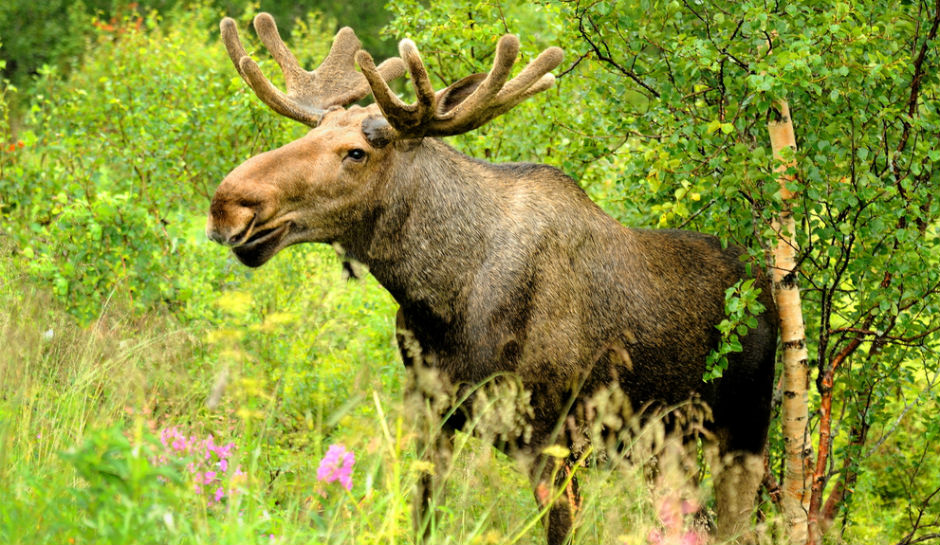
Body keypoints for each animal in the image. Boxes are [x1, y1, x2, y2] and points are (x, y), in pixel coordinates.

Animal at [207, 12, 780, 544]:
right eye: (313, 133)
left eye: (356, 152)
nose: (228, 204)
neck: (440, 300)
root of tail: (766, 288)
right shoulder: (431, 414)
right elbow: (424, 518)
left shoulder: (552, 437)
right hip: (662, 446)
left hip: (741, 430)